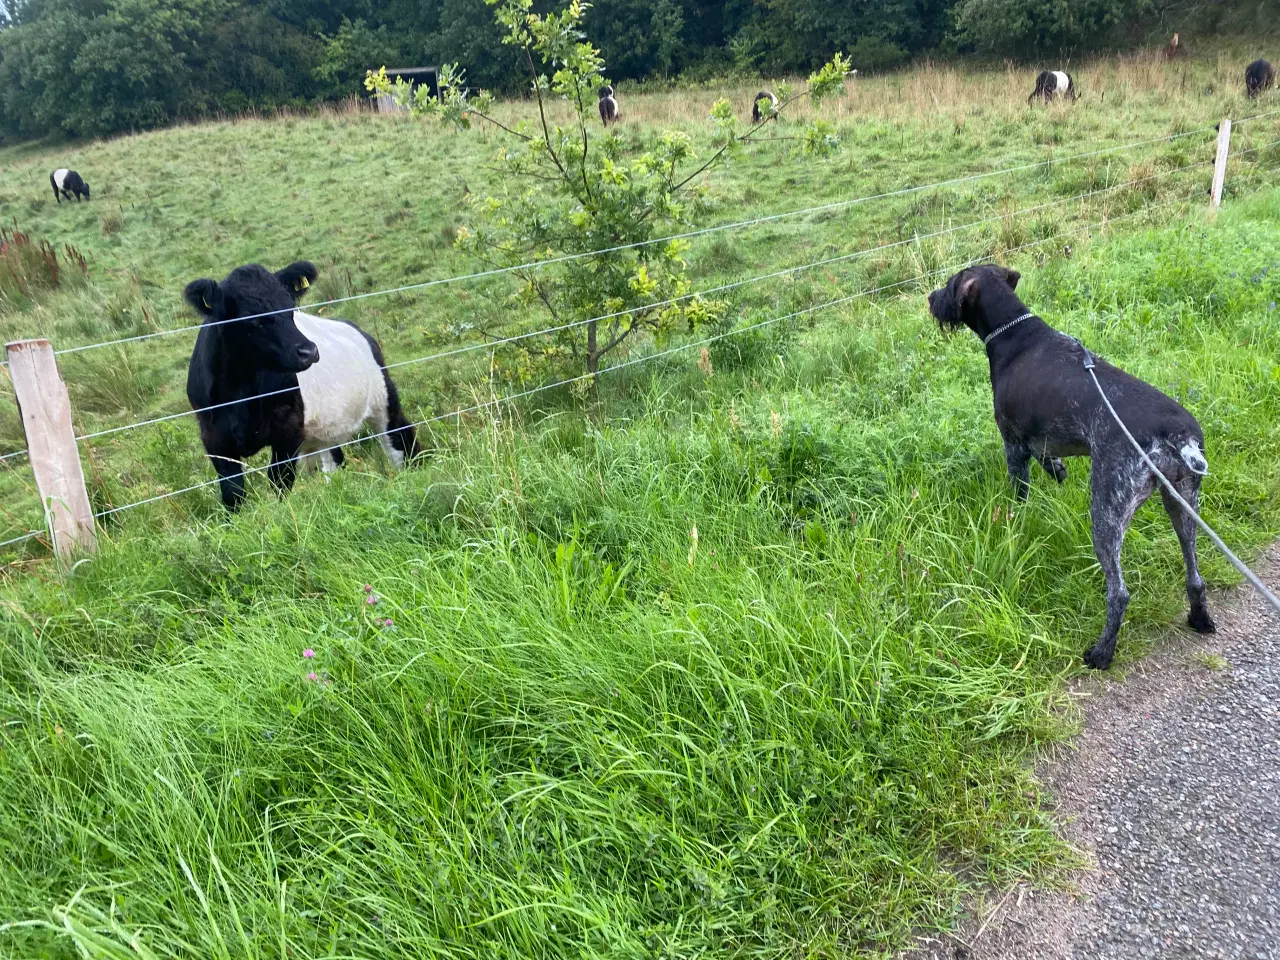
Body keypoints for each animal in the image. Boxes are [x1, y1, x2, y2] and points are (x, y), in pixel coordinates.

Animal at [185, 256, 417, 512]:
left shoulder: (288, 428)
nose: (309, 351)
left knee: (398, 437)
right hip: (325, 428)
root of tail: (357, 330)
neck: (240, 393)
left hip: (383, 400)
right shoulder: (213, 438)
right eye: (251, 318)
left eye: (291, 309)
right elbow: (232, 492)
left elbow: (279, 479)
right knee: (333, 463)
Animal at [926, 263, 1213, 670]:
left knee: (1119, 593)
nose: (930, 299)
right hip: (1183, 503)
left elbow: (1020, 494)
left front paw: (1016, 519)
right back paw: (1199, 617)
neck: (1013, 332)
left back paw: (1102, 653)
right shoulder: (1042, 437)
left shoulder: (1014, 445)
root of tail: (1177, 435)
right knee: (1196, 576)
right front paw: (1058, 471)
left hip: (1107, 511)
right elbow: (1049, 456)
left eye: (950, 285)